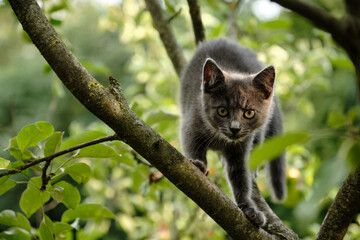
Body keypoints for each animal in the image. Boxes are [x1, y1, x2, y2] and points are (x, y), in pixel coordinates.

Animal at [180, 38, 286, 227]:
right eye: (222, 111)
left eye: (249, 113)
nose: (234, 128)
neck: (221, 138)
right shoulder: (191, 123)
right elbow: (191, 144)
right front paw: (198, 164)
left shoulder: (241, 148)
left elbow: (240, 176)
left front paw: (248, 208)